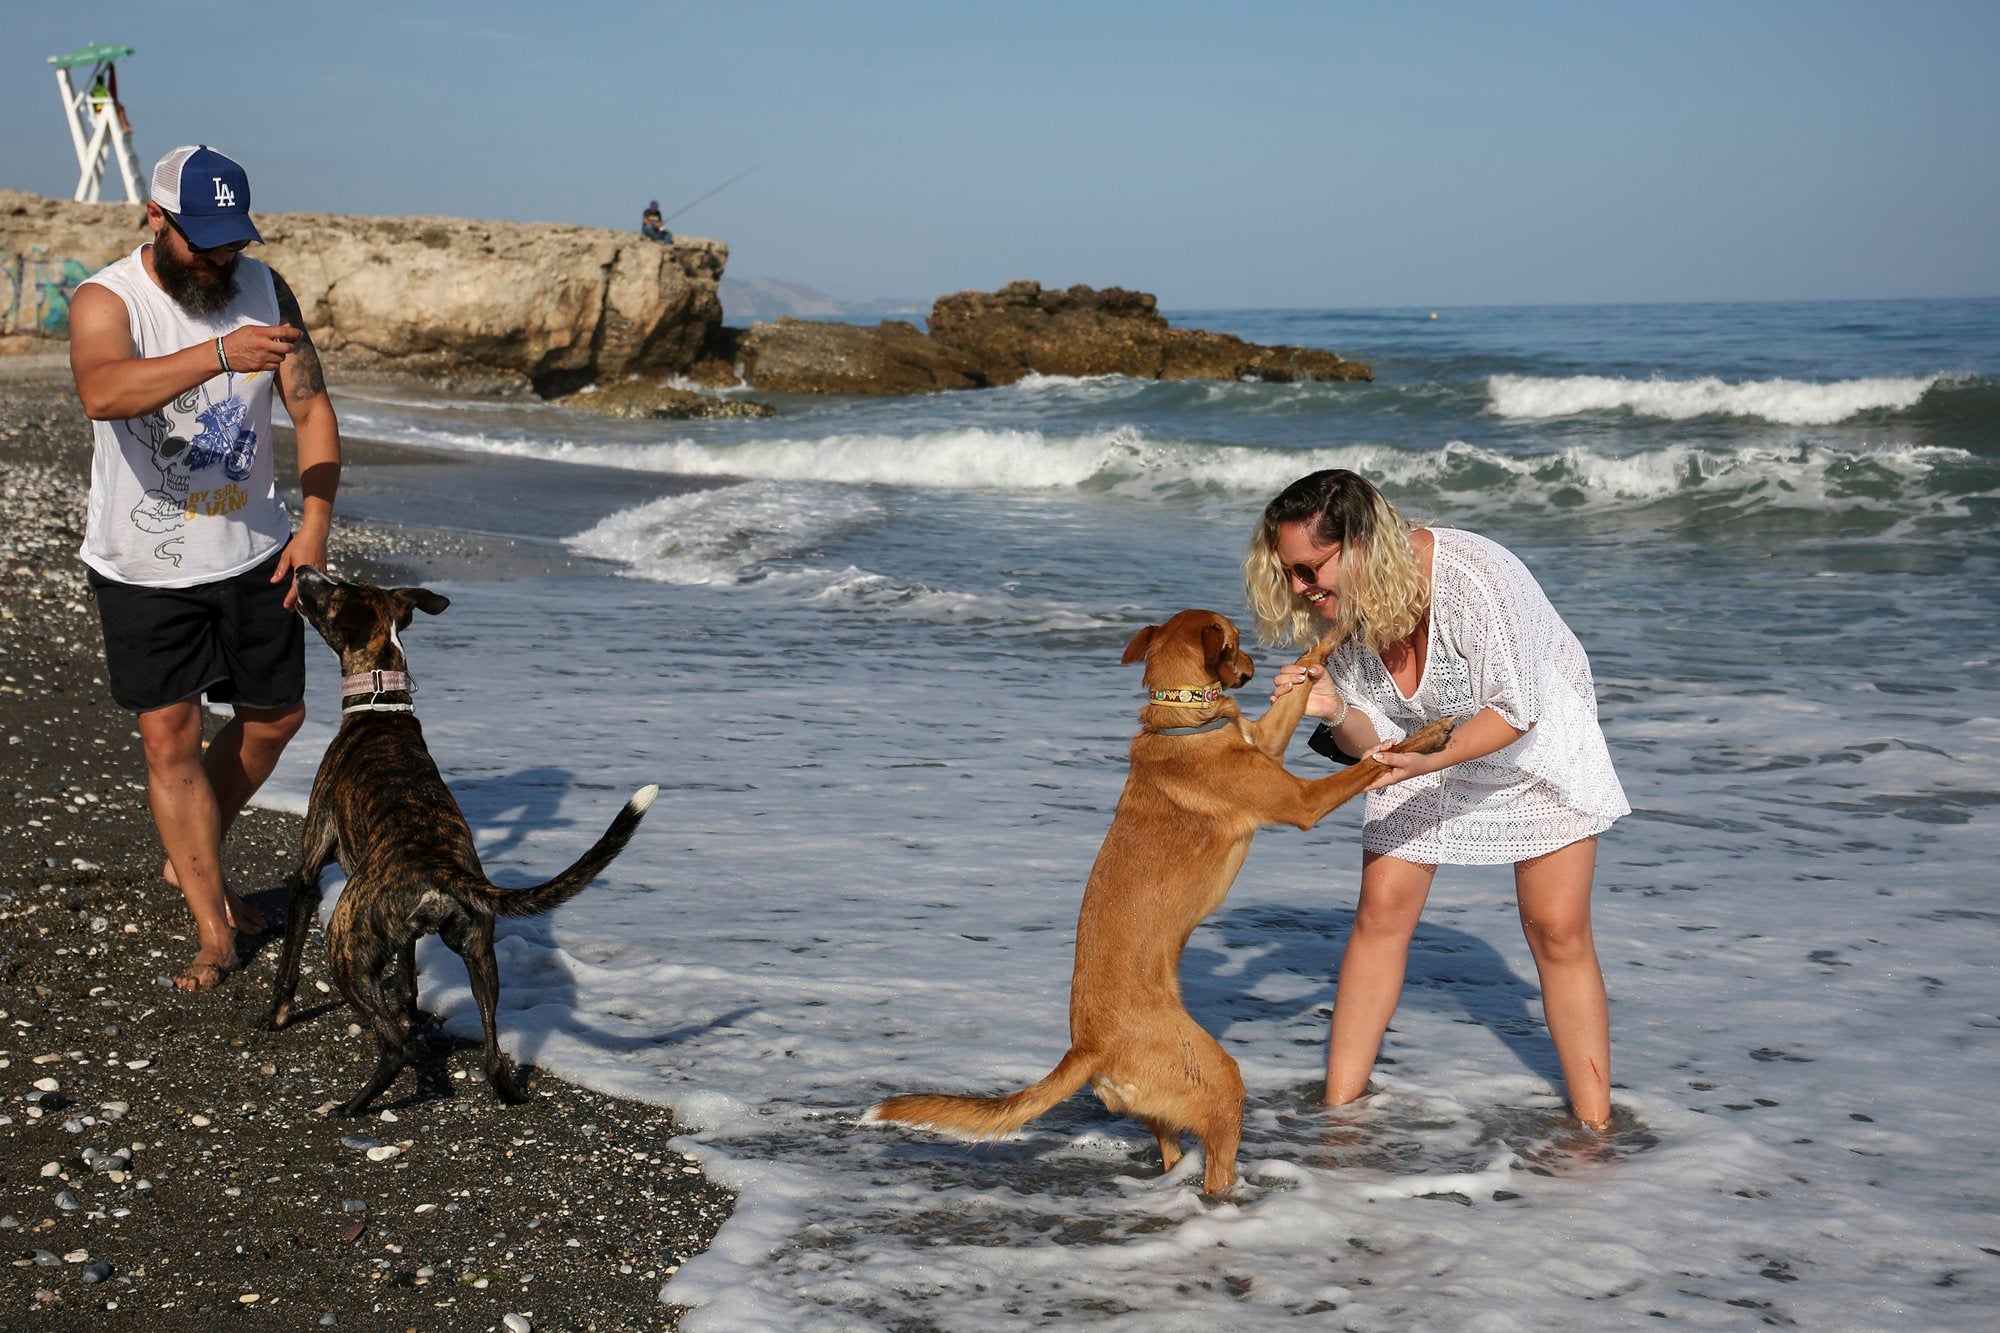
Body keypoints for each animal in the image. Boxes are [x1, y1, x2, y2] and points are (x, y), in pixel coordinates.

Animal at [264, 564, 656, 1112]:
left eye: (336, 589)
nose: (302, 569)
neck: (382, 706)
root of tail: (440, 870)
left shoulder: (308, 867)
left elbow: (290, 957)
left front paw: (274, 1016)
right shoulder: (408, 937)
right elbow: (408, 981)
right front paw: (408, 1006)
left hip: (345, 945)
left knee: (397, 1049)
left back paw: (351, 1105)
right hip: (480, 953)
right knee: (492, 1054)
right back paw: (505, 1089)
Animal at [868, 608, 1464, 1184]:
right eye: (1235, 642)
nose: (1253, 664)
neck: (1184, 721)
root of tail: (1089, 1047)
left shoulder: (1267, 743)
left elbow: (1302, 677)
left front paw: (1333, 634)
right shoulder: (1302, 802)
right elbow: (1376, 762)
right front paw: (1426, 738)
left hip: (1171, 1104)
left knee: (1173, 1151)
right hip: (1220, 1079)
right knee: (1216, 1168)